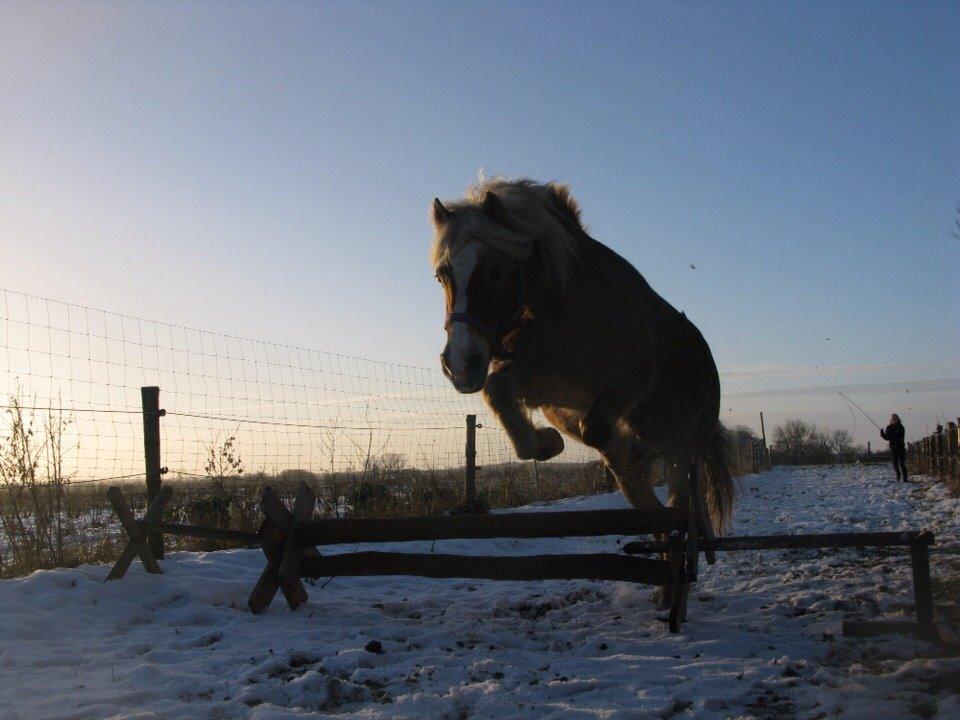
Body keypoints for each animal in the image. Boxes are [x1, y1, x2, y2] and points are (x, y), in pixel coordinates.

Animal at [430, 176, 736, 532]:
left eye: (495, 272)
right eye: (442, 275)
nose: (460, 365)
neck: (566, 310)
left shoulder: (630, 378)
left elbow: (597, 428)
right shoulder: (550, 390)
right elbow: (498, 390)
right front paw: (547, 443)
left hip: (686, 451)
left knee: (681, 499)